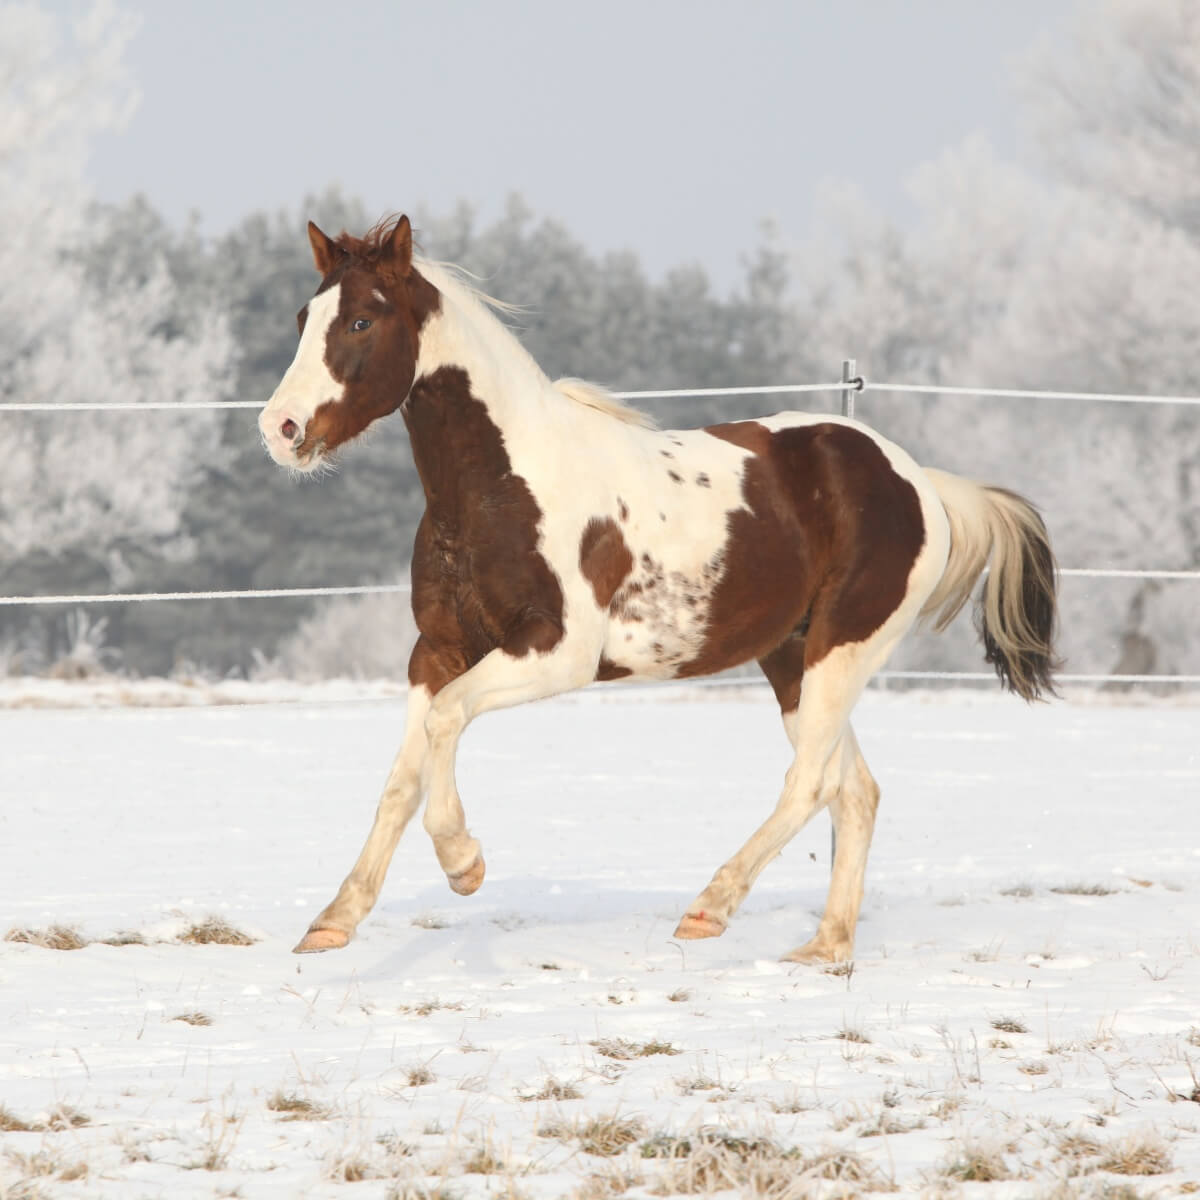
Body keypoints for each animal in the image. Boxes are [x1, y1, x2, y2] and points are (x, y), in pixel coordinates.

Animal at [258, 214, 1059, 963]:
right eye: (304, 317)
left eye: (363, 319)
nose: (280, 428)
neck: (499, 488)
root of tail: (920, 480)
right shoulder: (436, 650)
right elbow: (404, 775)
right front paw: (333, 921)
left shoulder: (557, 653)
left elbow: (447, 723)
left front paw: (464, 864)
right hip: (792, 658)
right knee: (853, 790)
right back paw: (823, 949)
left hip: (845, 647)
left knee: (810, 783)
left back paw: (711, 908)